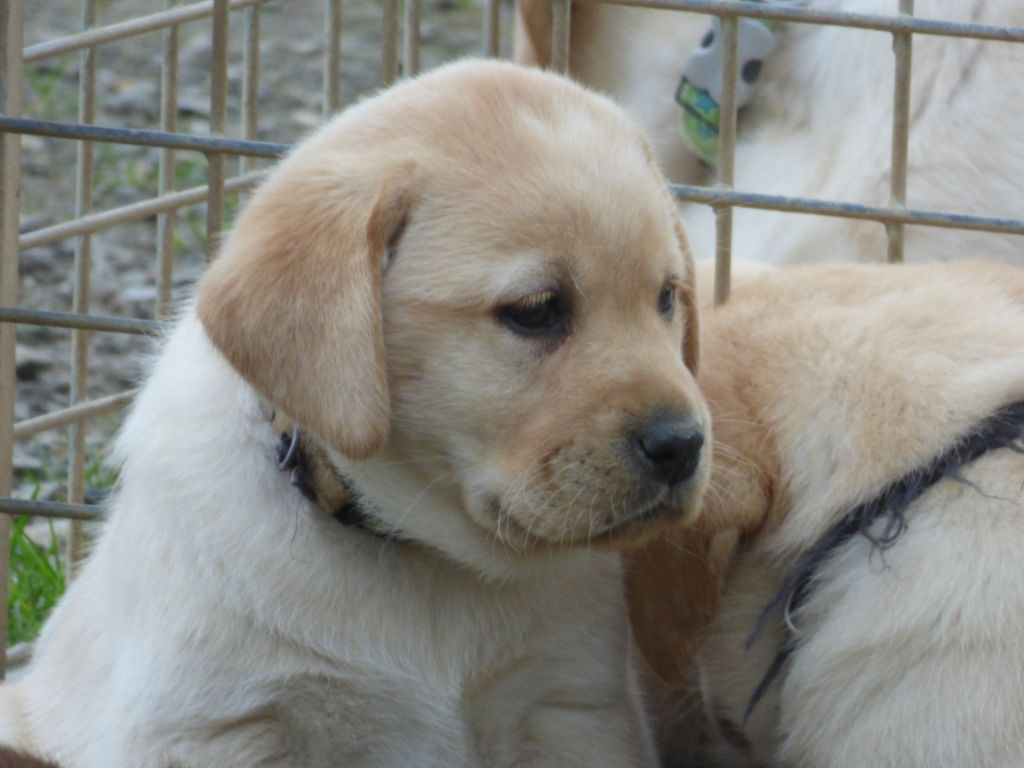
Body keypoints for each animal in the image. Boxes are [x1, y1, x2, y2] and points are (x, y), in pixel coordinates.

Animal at [0, 60, 711, 767]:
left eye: (667, 298)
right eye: (536, 310)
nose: (682, 444)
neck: (423, 559)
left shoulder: (572, 707)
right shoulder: (215, 728)